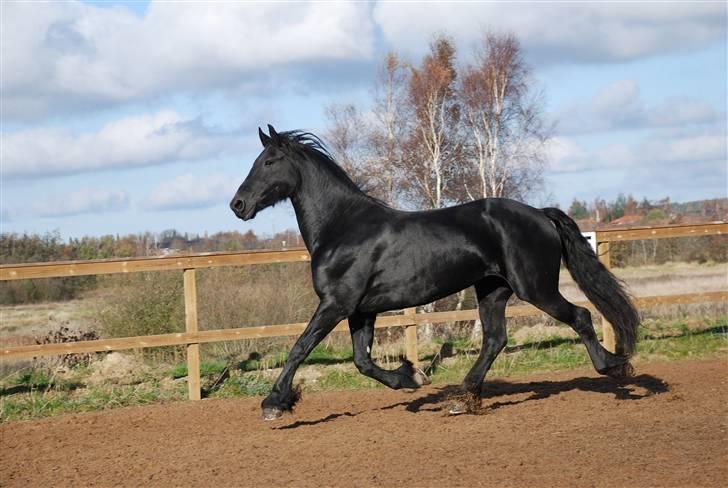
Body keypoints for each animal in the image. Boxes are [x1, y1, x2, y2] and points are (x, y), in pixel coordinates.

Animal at [229, 126, 636, 420]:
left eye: (269, 161)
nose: (238, 205)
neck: (342, 227)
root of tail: (540, 213)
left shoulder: (336, 304)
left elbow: (300, 347)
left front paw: (274, 403)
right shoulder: (361, 310)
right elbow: (362, 361)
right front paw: (412, 377)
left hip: (535, 287)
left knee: (579, 316)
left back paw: (614, 367)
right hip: (492, 289)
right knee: (495, 339)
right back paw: (462, 398)